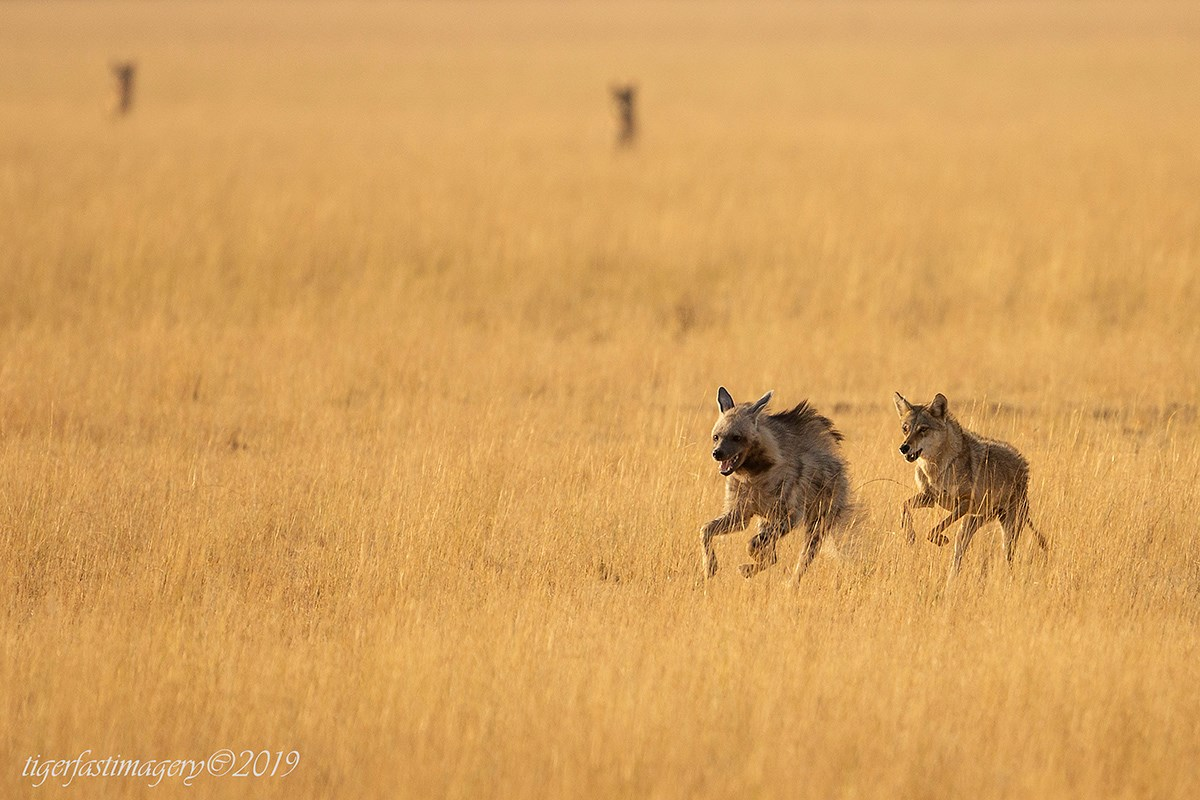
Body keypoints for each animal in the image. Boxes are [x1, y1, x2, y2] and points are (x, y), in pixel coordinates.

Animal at [696, 386, 854, 582]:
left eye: (736, 437)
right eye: (716, 437)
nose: (717, 453)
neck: (752, 475)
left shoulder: (792, 515)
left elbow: (753, 543)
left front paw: (752, 558)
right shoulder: (739, 514)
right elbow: (705, 529)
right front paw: (710, 567)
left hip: (819, 519)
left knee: (805, 555)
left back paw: (790, 582)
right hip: (768, 519)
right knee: (775, 555)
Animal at [897, 393, 1046, 582]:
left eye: (923, 429)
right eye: (905, 429)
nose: (904, 447)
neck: (938, 468)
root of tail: (1023, 465)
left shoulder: (965, 502)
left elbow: (933, 531)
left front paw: (941, 539)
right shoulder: (929, 498)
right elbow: (904, 506)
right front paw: (910, 536)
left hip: (1007, 532)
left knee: (1010, 558)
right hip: (970, 525)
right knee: (960, 552)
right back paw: (952, 579)